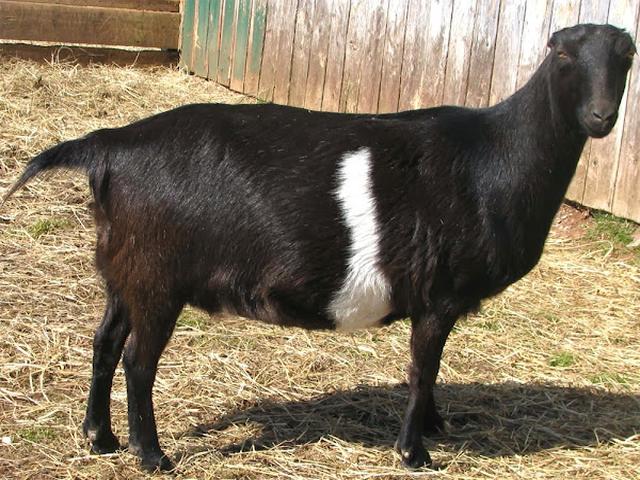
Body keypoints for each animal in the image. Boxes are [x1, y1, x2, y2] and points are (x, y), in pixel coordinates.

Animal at [3, 24, 635, 471]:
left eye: (626, 58)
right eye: (563, 57)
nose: (601, 117)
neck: (492, 156)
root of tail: (109, 146)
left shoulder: (436, 302)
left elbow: (428, 371)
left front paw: (435, 427)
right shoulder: (438, 294)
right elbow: (422, 369)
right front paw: (414, 453)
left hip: (123, 271)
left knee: (104, 343)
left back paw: (100, 439)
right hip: (157, 278)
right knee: (138, 361)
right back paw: (152, 456)